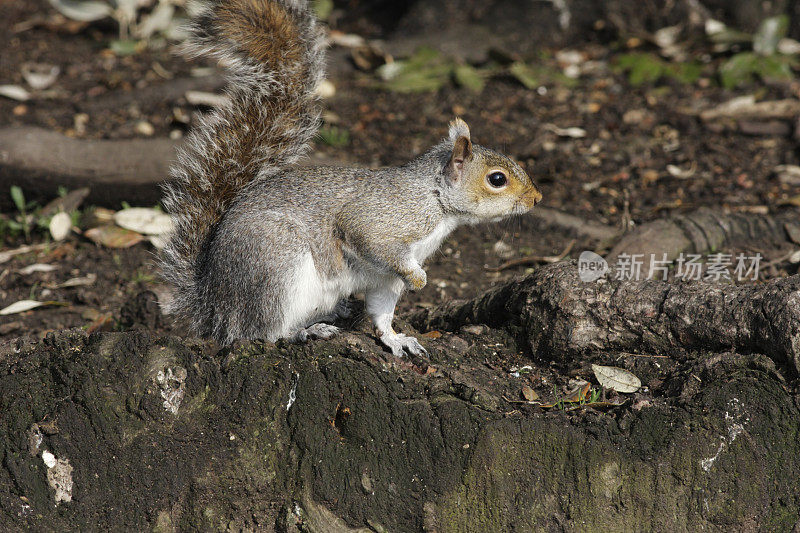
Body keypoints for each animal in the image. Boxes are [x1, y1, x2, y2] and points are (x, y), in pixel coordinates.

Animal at [159, 1, 540, 358]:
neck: (435, 198)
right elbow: (368, 236)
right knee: (261, 330)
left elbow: (382, 312)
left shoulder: (385, 279)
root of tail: (212, 303)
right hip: (275, 264)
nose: (536, 199)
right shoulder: (384, 221)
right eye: (497, 179)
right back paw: (304, 331)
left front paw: (396, 339)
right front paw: (419, 280)